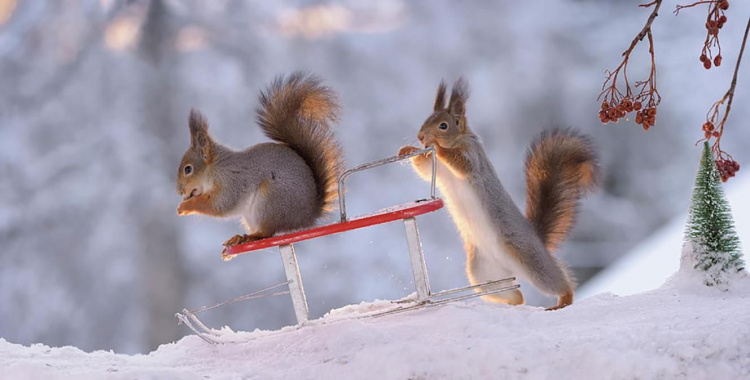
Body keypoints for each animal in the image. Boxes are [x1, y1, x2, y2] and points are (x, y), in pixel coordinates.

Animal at [176, 72, 344, 258]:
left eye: (188, 169)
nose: (179, 191)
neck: (215, 169)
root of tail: (307, 216)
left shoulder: (232, 181)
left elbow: (220, 204)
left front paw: (185, 206)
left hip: (270, 201)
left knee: (267, 232)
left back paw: (250, 236)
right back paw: (239, 239)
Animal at [400, 78, 600, 310]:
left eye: (443, 125)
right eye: (426, 120)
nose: (421, 136)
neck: (459, 139)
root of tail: (538, 240)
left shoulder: (473, 157)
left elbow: (461, 164)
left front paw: (438, 147)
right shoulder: (439, 171)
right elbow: (424, 169)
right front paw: (406, 150)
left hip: (531, 261)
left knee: (558, 282)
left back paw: (563, 300)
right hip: (484, 273)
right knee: (515, 294)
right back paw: (511, 304)